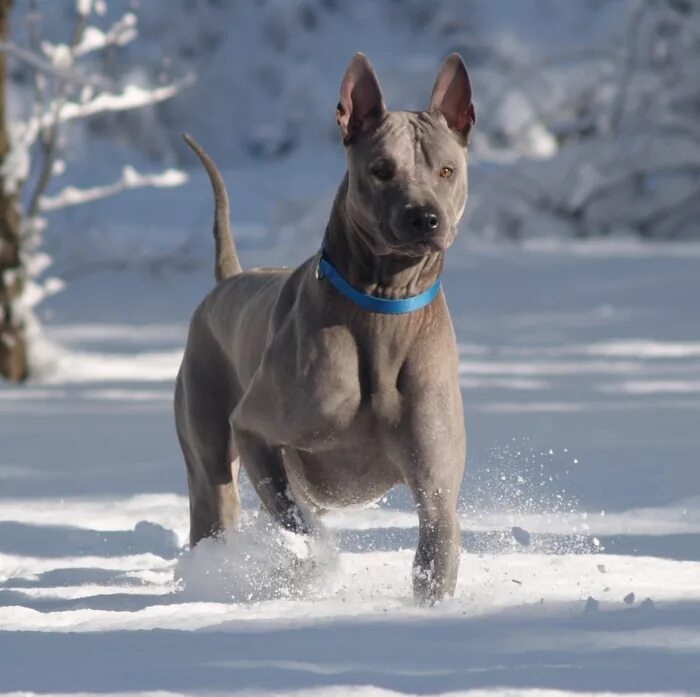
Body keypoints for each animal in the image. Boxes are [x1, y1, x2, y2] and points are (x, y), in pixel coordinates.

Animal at [176, 51, 476, 600]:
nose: (424, 217)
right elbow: (298, 522)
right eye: (381, 169)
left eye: (447, 170)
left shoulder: (437, 487)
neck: (383, 307)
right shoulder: (254, 427)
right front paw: (314, 566)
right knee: (217, 503)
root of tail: (229, 278)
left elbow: (437, 543)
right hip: (209, 444)